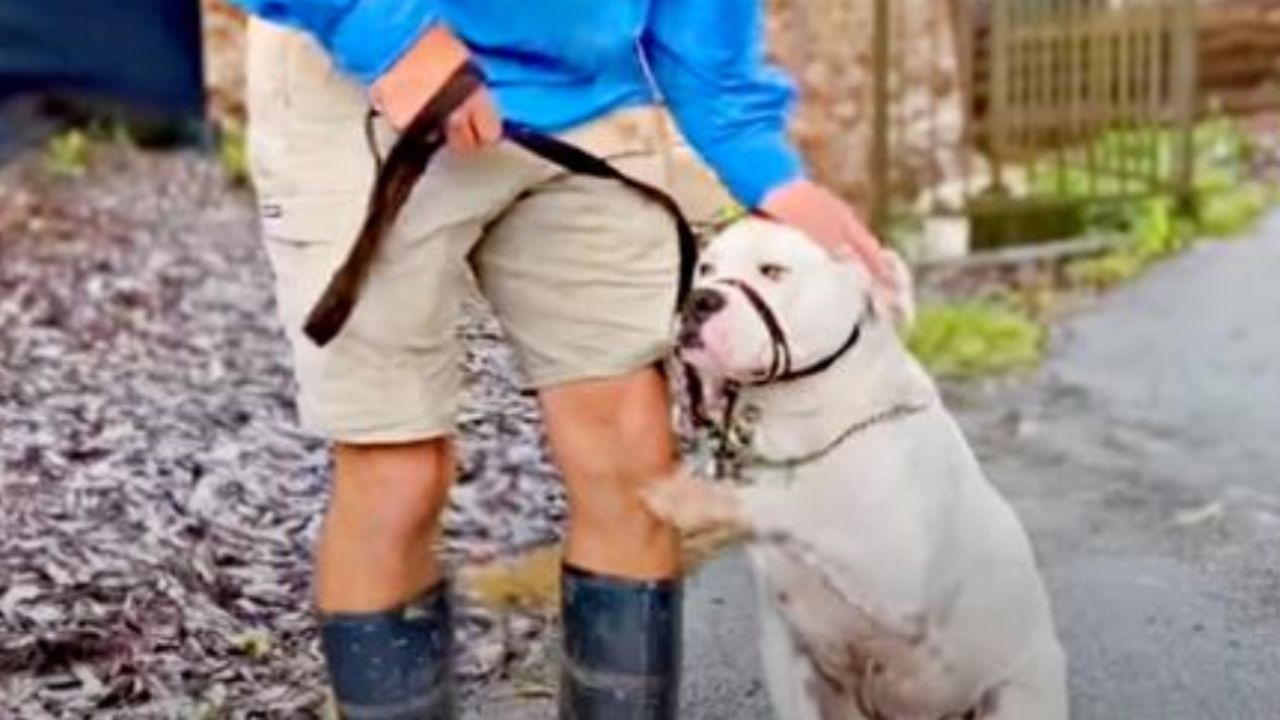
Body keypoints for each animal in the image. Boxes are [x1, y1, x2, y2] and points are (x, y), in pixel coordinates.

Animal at [645, 217, 1064, 717]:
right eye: (706, 268)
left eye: (773, 271)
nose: (699, 299)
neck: (802, 425)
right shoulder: (791, 659)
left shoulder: (894, 581)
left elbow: (796, 508)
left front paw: (690, 497)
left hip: (1017, 691)